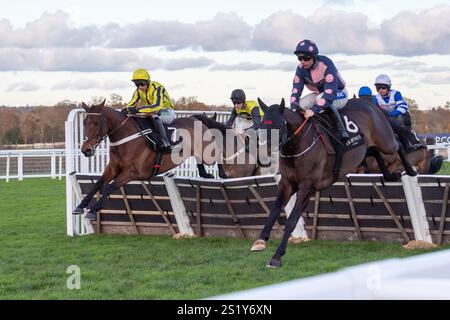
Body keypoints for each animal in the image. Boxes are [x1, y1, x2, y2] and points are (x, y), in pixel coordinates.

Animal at [72, 101, 218, 221]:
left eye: (96, 123)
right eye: (84, 123)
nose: (86, 149)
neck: (126, 138)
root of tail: (194, 118)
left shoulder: (131, 172)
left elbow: (109, 187)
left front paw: (92, 211)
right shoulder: (112, 168)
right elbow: (98, 184)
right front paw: (80, 206)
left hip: (208, 154)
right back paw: (205, 174)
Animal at [250, 97, 414, 268]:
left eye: (278, 125)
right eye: (261, 127)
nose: (264, 154)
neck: (297, 147)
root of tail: (368, 102)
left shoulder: (307, 187)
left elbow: (292, 220)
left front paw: (276, 257)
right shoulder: (286, 183)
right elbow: (273, 212)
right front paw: (260, 241)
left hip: (385, 141)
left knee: (397, 144)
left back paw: (410, 170)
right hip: (362, 150)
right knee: (374, 151)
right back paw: (390, 175)